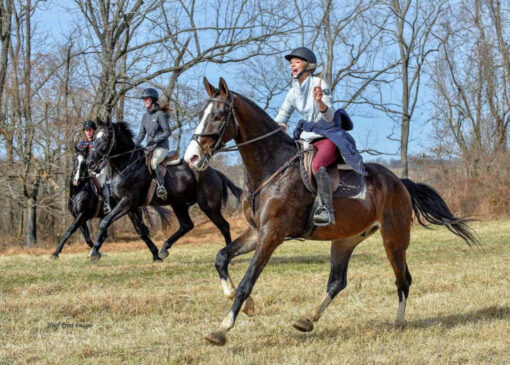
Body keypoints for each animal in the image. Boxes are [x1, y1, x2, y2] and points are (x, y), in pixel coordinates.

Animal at [85, 121, 241, 264]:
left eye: (105, 138)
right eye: (93, 138)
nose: (90, 163)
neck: (127, 165)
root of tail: (214, 171)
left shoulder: (127, 203)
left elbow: (105, 221)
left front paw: (95, 253)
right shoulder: (130, 207)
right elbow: (141, 231)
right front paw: (155, 255)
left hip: (208, 206)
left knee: (224, 226)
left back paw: (227, 257)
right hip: (179, 204)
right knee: (186, 225)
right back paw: (164, 248)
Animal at [185, 77, 480, 344]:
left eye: (219, 116)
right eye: (200, 115)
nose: (192, 158)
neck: (271, 168)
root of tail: (399, 182)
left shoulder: (272, 234)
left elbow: (247, 281)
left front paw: (222, 329)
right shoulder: (258, 231)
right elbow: (221, 257)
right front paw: (246, 306)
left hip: (394, 238)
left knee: (403, 279)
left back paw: (398, 323)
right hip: (345, 239)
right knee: (337, 281)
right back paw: (307, 319)